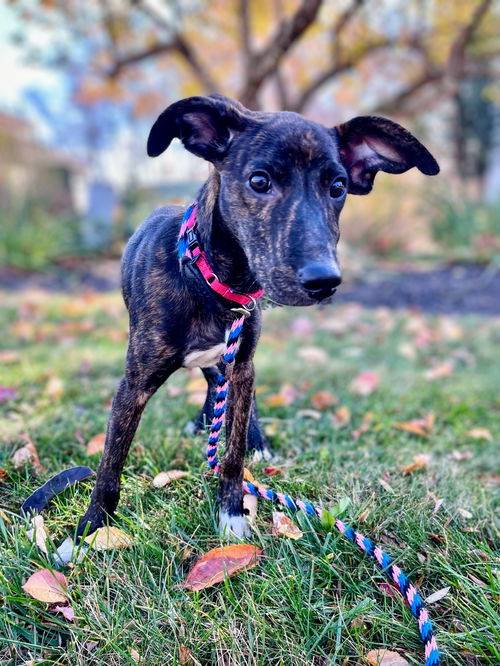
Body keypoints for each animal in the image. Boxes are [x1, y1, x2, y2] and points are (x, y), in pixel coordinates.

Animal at [76, 93, 440, 540]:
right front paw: (90, 528)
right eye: (259, 181)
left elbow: (232, 451)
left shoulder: (242, 365)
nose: (324, 281)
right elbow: (112, 459)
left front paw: (231, 512)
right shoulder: (135, 383)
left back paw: (251, 436)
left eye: (338, 188)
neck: (212, 281)